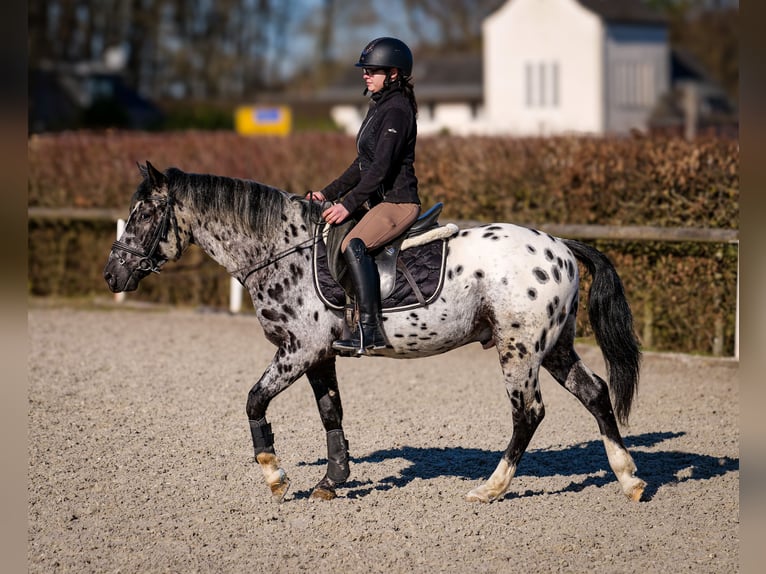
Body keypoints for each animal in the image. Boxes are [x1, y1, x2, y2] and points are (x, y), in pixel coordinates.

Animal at [103, 164, 648, 506]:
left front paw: (276, 476)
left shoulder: (298, 350)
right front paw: (332, 480)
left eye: (144, 214)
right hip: (553, 347)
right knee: (595, 394)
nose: (112, 275)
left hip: (518, 349)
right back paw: (629, 479)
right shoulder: (320, 355)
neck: (280, 248)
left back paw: (490, 489)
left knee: (527, 414)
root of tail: (560, 245)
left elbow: (254, 401)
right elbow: (331, 413)